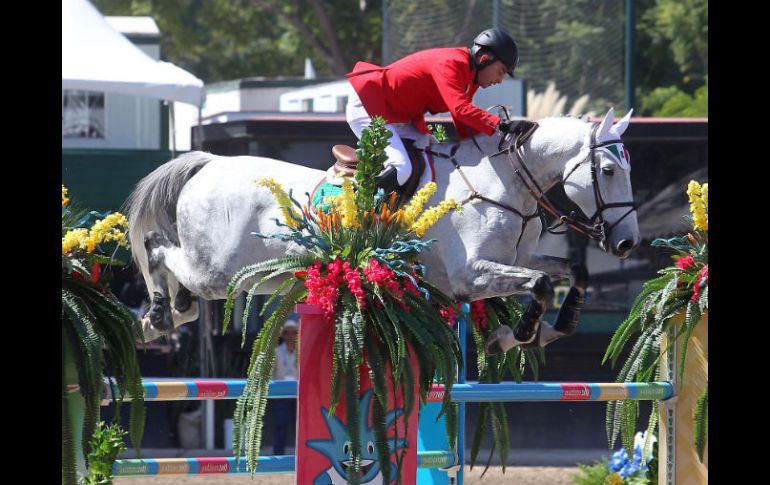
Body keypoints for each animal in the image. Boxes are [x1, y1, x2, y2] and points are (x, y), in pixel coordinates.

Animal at [126, 107, 640, 348]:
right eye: (609, 170)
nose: (627, 242)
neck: (503, 181)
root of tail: (209, 163)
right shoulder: (471, 275)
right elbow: (539, 286)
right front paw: (514, 336)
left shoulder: (517, 260)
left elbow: (570, 275)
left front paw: (552, 330)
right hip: (218, 269)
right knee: (156, 248)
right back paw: (158, 313)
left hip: (243, 274)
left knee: (183, 292)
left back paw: (161, 318)